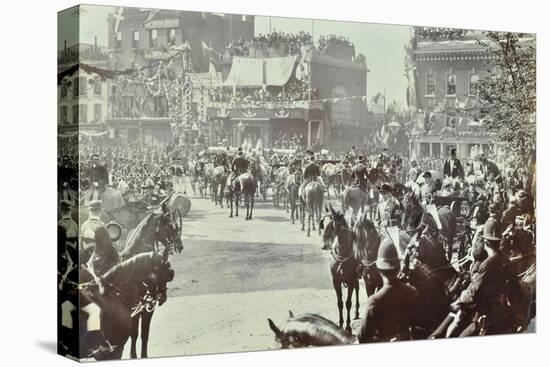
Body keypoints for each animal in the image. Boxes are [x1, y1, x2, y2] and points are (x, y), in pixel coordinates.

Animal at [118, 201, 183, 360]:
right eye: (170, 225)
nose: (180, 245)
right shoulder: (135, 306)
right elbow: (134, 333)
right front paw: (133, 355)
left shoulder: (149, 306)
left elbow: (144, 334)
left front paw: (144, 355)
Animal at [320, 206, 362, 334]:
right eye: (322, 223)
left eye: (334, 223)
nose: (324, 245)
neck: (342, 257)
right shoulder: (336, 282)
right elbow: (340, 303)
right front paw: (340, 324)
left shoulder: (351, 281)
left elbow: (348, 303)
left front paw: (348, 326)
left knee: (357, 290)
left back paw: (357, 312)